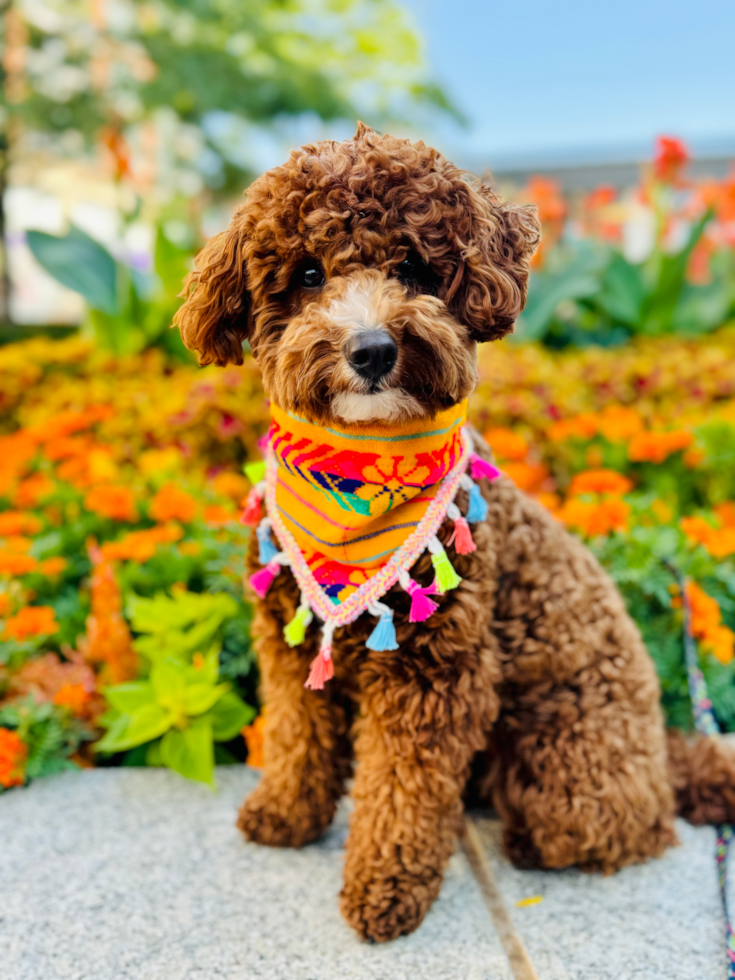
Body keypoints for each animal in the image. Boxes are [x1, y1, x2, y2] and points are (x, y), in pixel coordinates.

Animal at [177, 122, 735, 940]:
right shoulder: (288, 643)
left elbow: (402, 792)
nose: (371, 349)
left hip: (571, 765)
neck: (361, 470)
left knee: (625, 829)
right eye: (308, 274)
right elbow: (295, 736)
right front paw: (285, 815)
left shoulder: (433, 676)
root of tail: (666, 752)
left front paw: (385, 886)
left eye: (413, 267)